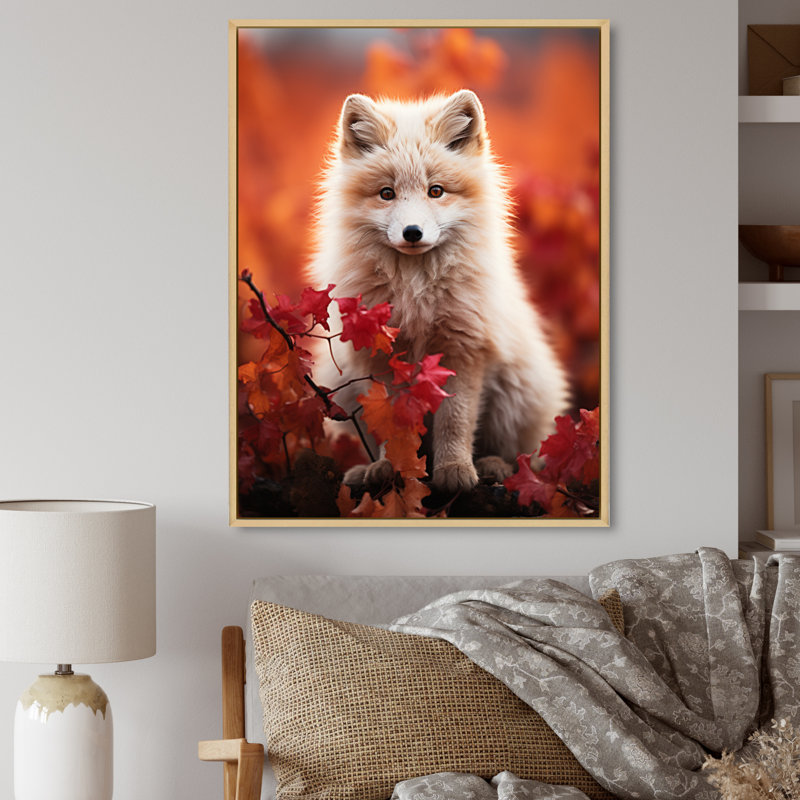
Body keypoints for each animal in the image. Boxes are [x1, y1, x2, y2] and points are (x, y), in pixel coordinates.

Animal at [310, 89, 568, 493]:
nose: (412, 232)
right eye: (387, 193)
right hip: (343, 387)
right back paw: (365, 471)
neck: (416, 292)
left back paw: (495, 467)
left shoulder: (463, 349)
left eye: (436, 191)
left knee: (523, 456)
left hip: (514, 395)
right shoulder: (383, 358)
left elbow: (455, 420)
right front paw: (391, 469)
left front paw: (454, 470)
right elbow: (392, 426)